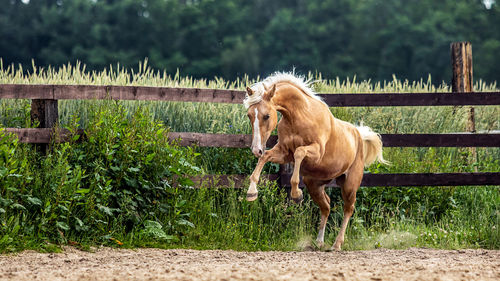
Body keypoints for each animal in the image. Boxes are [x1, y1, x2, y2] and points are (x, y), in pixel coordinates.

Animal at [242, 72, 386, 249]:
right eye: (249, 115)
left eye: (266, 116)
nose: (256, 149)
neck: (299, 115)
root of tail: (358, 134)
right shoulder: (283, 152)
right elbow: (265, 156)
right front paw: (251, 193)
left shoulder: (316, 152)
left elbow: (299, 152)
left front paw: (296, 194)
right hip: (315, 185)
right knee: (326, 206)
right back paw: (319, 242)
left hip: (350, 185)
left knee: (348, 209)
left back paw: (336, 244)